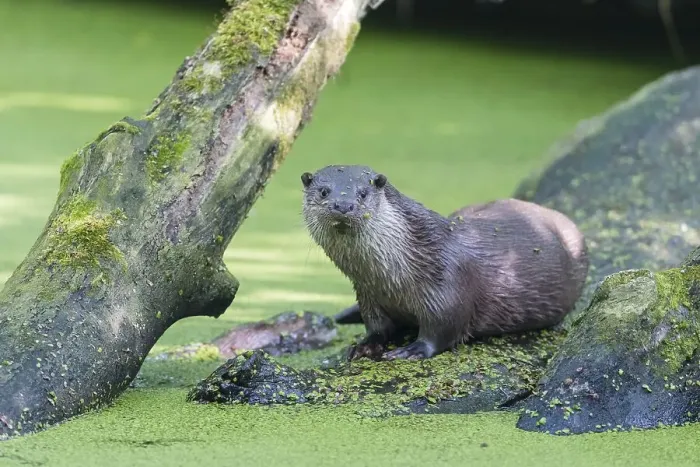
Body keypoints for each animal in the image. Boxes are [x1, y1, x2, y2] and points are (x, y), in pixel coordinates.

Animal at [301, 165, 589, 361]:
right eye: (324, 191)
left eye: (362, 193)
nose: (343, 205)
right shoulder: (368, 295)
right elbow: (376, 326)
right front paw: (365, 345)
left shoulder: (448, 285)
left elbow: (444, 327)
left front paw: (413, 349)